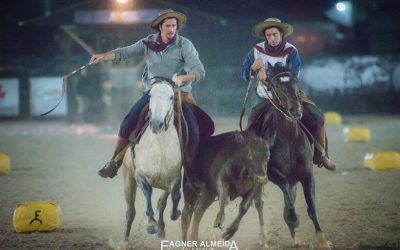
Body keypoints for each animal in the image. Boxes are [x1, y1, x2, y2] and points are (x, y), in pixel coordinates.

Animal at [121, 76, 182, 240]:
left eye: (171, 97)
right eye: (150, 95)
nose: (156, 124)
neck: (159, 148)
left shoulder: (174, 177)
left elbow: (174, 196)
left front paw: (174, 214)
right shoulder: (139, 174)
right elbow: (147, 190)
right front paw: (150, 224)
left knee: (161, 202)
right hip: (128, 178)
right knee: (130, 212)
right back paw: (124, 240)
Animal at [247, 65, 332, 249]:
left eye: (295, 82)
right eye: (276, 86)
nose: (295, 110)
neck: (288, 138)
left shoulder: (307, 174)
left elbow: (311, 207)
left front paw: (322, 240)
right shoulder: (274, 175)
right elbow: (288, 200)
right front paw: (292, 219)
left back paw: (296, 238)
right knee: (259, 203)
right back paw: (264, 237)